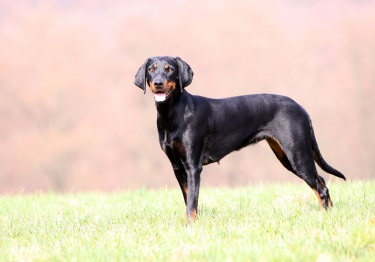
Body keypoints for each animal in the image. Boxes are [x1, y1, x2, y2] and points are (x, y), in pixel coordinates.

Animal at [135, 56, 346, 222]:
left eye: (170, 69)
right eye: (151, 69)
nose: (158, 83)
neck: (171, 114)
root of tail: (301, 108)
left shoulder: (193, 166)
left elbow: (191, 203)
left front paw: (190, 227)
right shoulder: (177, 167)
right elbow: (189, 199)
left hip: (297, 154)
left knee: (320, 187)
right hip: (286, 156)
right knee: (321, 181)